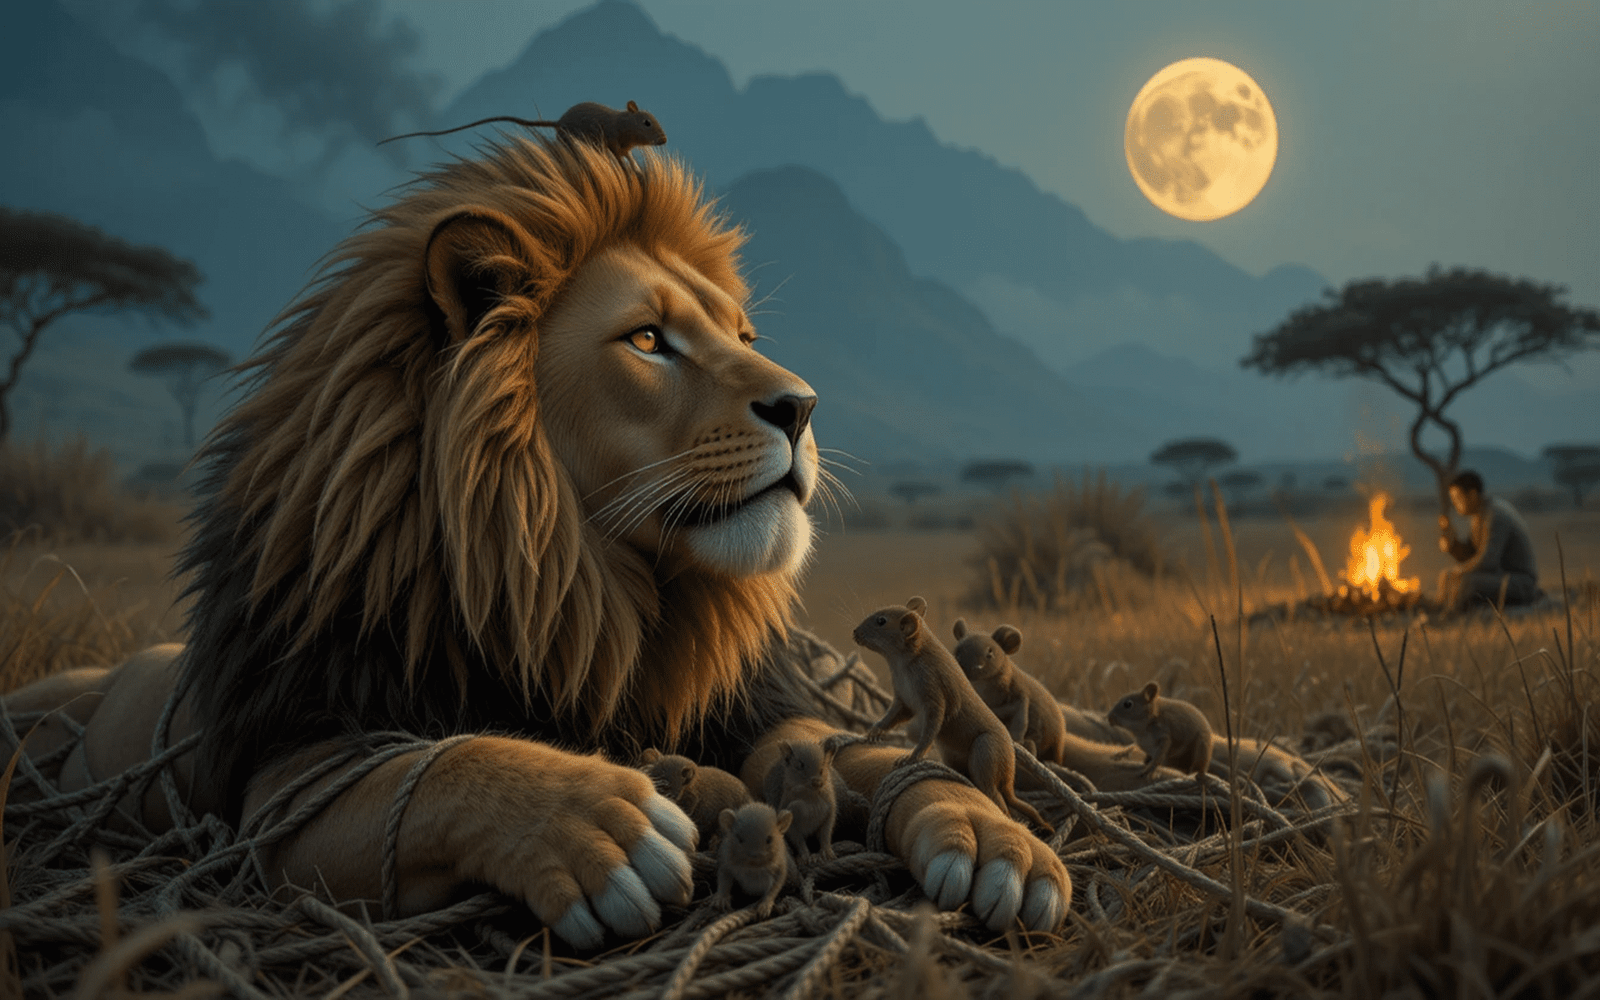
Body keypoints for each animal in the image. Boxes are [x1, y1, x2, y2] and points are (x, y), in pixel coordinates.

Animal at [5, 136, 1155, 945]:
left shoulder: (749, 704)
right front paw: (595, 826)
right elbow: (428, 769)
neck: (590, 589)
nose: (803, 405)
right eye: (648, 340)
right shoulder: (282, 780)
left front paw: (987, 831)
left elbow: (862, 752)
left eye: (742, 337)